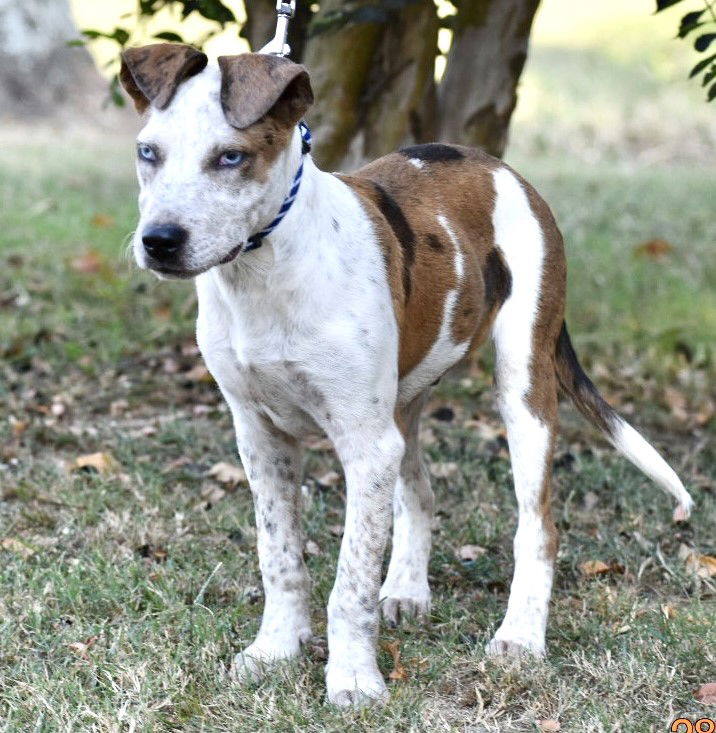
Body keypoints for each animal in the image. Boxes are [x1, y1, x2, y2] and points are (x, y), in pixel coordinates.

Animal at [119, 43, 692, 708]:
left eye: (230, 157)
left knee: (539, 527)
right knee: (419, 494)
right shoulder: (262, 437)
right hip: (403, 401)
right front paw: (277, 651)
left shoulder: (364, 445)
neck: (265, 274)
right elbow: (280, 558)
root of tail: (499, 167)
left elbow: (350, 582)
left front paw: (352, 678)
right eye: (148, 152)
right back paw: (408, 591)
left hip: (522, 384)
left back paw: (520, 637)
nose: (159, 242)